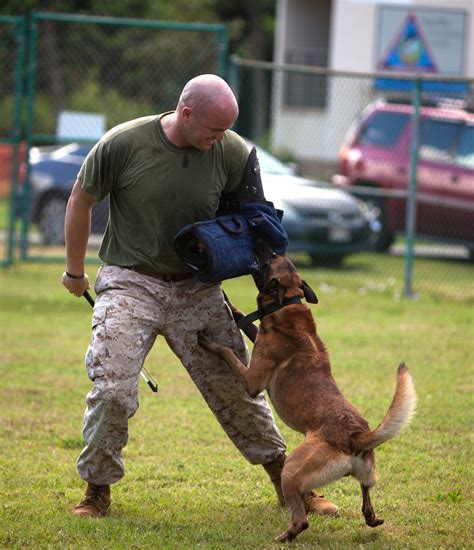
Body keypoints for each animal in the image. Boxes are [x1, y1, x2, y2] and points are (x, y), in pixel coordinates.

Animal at [198, 242, 416, 544]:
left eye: (268, 260)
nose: (264, 245)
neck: (289, 301)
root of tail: (356, 436)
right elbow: (244, 319)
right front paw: (230, 303)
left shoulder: (252, 380)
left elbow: (228, 352)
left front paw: (211, 342)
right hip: (364, 473)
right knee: (366, 497)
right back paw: (371, 518)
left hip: (292, 469)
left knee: (301, 518)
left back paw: (284, 537)